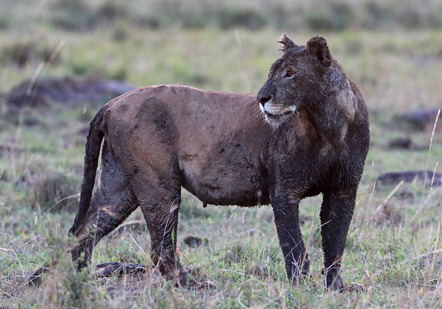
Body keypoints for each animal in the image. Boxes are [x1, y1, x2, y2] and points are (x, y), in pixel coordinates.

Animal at [66, 35, 370, 290]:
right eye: (272, 72)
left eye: (290, 73)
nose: (261, 98)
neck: (328, 124)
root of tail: (111, 103)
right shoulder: (284, 191)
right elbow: (294, 244)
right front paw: (300, 286)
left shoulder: (344, 189)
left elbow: (335, 241)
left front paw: (337, 287)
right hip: (158, 184)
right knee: (160, 246)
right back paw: (192, 284)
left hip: (119, 188)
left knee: (84, 232)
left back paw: (80, 280)